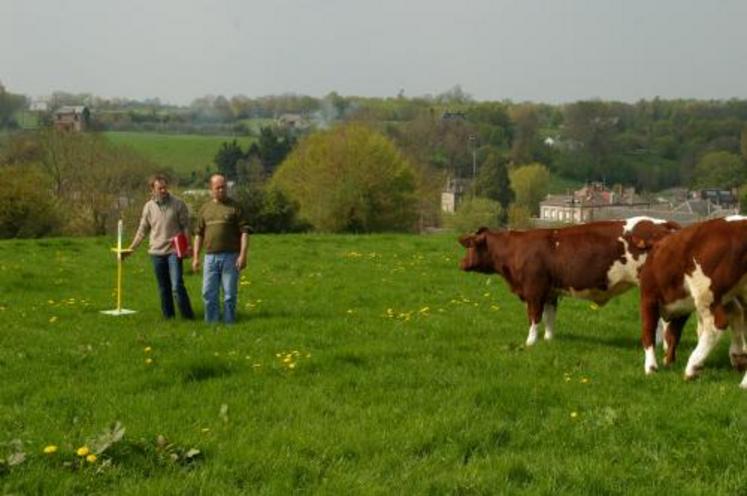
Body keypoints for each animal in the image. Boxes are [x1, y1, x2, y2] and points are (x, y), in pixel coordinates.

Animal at [458, 217, 680, 344]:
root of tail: (662, 223)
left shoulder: (534, 291)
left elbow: (534, 317)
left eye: (471, 245)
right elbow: (549, 317)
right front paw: (548, 339)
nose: (461, 263)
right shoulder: (550, 292)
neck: (515, 249)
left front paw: (530, 342)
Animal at [640, 215, 747, 386]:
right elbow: (673, 334)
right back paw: (744, 382)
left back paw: (693, 367)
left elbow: (648, 331)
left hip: (704, 294)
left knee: (715, 325)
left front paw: (651, 367)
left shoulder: (648, 297)